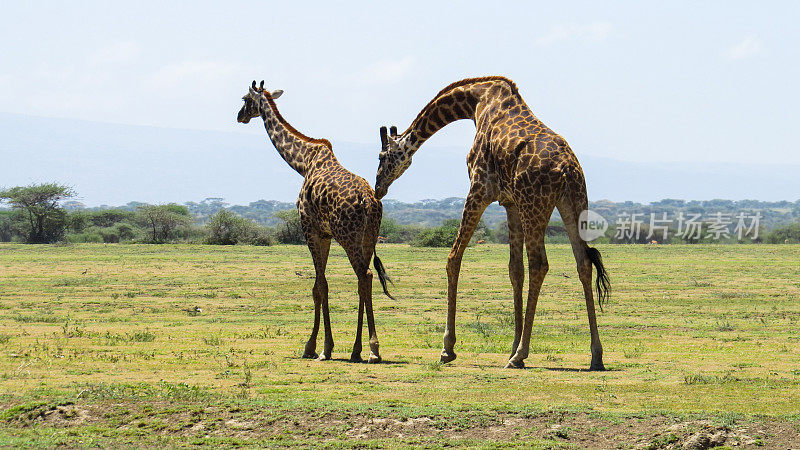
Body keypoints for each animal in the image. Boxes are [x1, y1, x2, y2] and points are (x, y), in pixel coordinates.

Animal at [238, 80, 394, 362]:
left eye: (245, 98)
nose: (239, 116)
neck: (302, 163)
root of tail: (370, 202)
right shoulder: (325, 234)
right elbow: (320, 285)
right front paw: (325, 345)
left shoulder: (310, 229)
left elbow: (319, 286)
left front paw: (317, 347)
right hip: (368, 236)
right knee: (362, 281)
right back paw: (357, 349)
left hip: (348, 236)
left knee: (364, 276)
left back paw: (373, 349)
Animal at [374, 76, 608, 370]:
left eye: (381, 157)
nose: (378, 187)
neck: (477, 101)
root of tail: (567, 169)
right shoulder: (510, 202)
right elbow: (515, 270)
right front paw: (511, 346)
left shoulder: (479, 188)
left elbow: (453, 258)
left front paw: (448, 348)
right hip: (574, 203)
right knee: (583, 263)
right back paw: (595, 355)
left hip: (535, 205)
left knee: (540, 264)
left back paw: (521, 355)